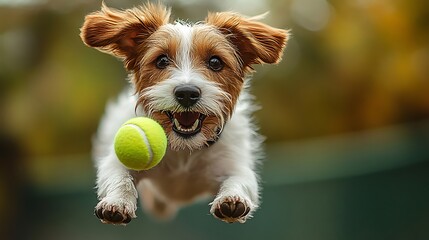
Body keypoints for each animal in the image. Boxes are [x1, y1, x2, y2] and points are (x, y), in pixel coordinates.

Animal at [80, 1, 288, 224]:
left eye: (215, 62)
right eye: (161, 60)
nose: (187, 93)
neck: (185, 149)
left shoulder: (234, 164)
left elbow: (240, 180)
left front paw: (233, 198)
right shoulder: (116, 162)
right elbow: (119, 177)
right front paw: (117, 201)